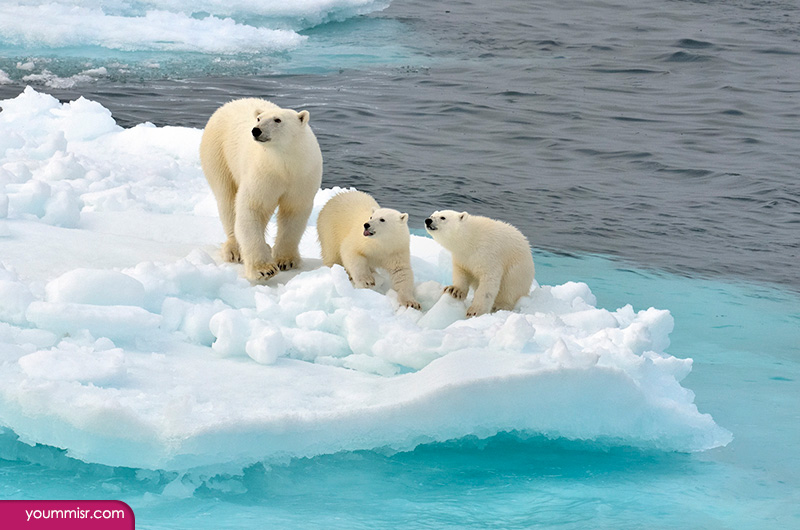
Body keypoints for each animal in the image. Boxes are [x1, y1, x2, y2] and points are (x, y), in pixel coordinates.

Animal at [199, 98, 323, 282]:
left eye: (277, 120)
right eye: (259, 118)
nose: (256, 130)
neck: (283, 163)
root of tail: (228, 104)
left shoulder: (302, 175)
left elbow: (294, 211)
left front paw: (286, 261)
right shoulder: (263, 171)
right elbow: (252, 207)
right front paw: (264, 270)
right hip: (217, 153)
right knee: (226, 198)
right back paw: (234, 250)